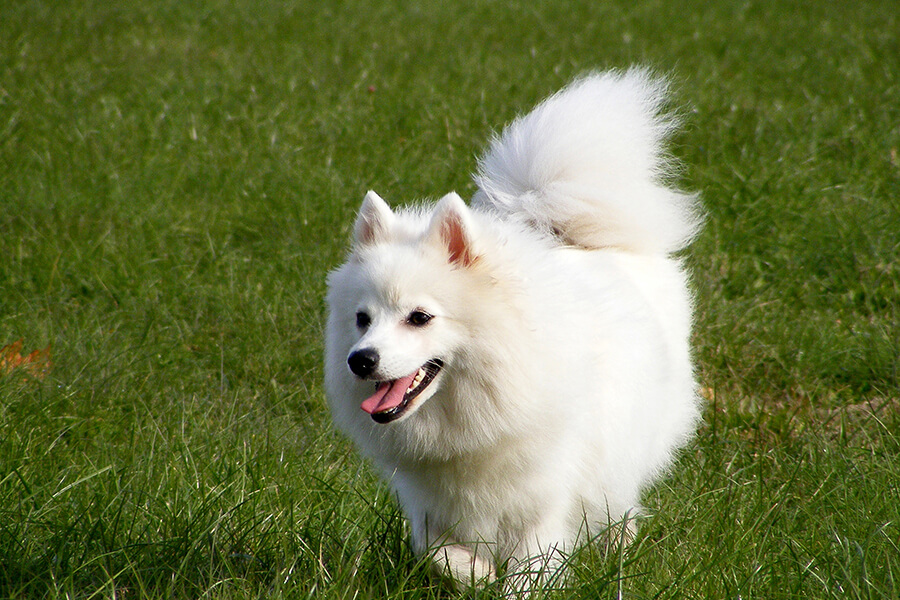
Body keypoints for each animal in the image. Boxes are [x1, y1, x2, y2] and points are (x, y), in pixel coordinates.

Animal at [324, 69, 704, 592]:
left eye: (419, 317)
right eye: (362, 319)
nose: (360, 360)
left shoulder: (544, 503)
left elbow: (529, 573)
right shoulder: (429, 506)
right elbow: (438, 553)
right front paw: (478, 575)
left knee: (620, 504)